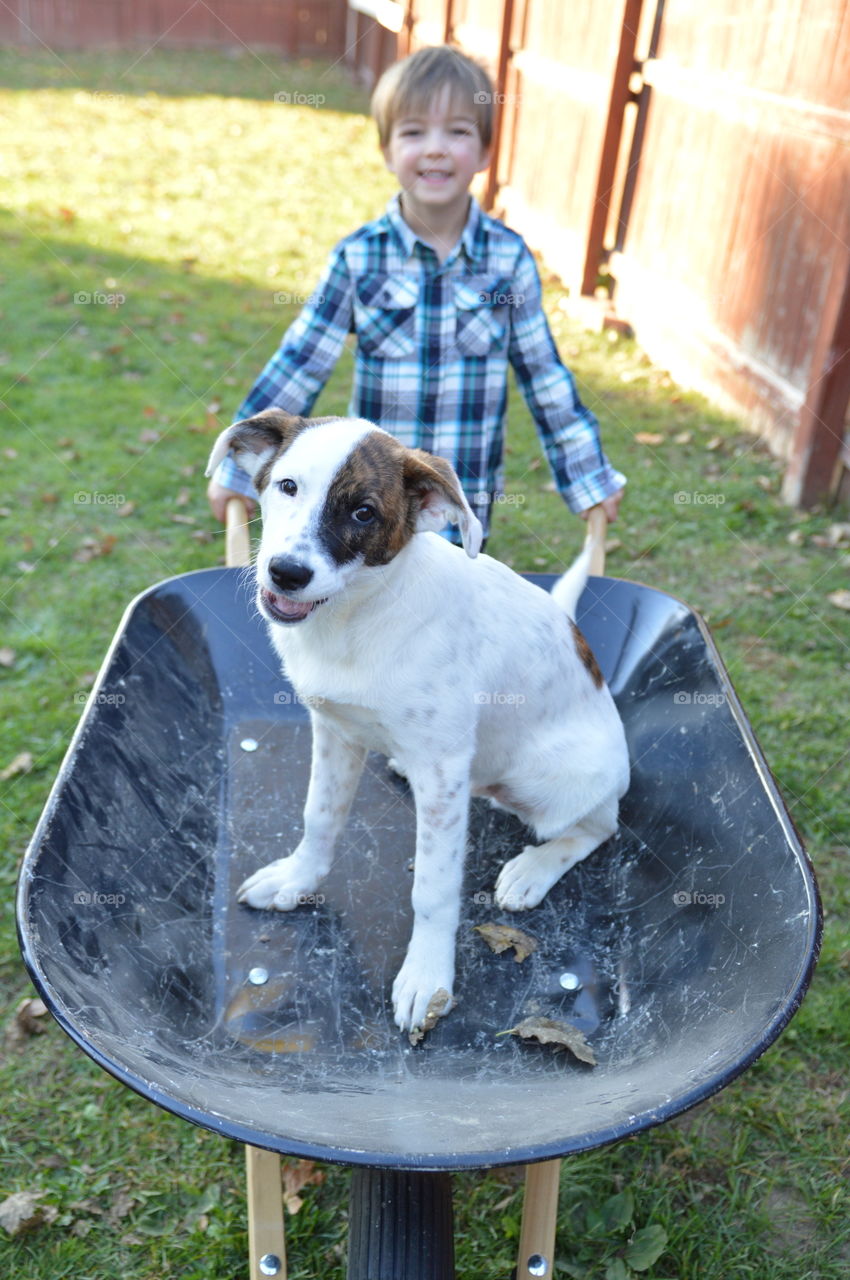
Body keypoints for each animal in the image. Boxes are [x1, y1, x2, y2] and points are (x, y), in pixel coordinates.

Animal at [207, 414, 629, 1034]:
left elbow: (431, 887)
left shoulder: (443, 768)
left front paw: (427, 977)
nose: (286, 574)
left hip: (556, 778)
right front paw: (297, 880)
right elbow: (319, 817)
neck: (355, 619)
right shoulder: (334, 731)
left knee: (599, 825)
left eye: (363, 513)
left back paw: (533, 867)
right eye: (287, 486)